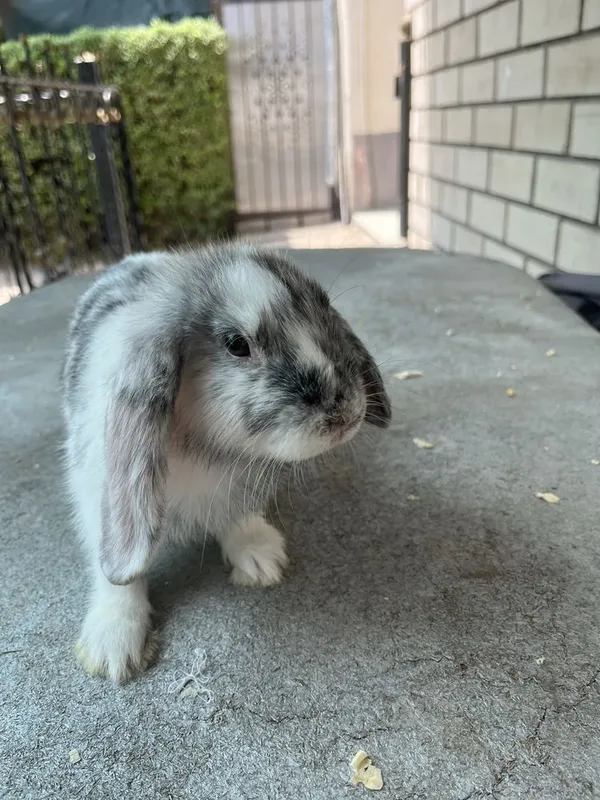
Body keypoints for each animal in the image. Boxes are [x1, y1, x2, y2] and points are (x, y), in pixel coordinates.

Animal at [61, 244, 391, 682]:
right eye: (236, 344)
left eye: (324, 308)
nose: (345, 414)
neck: (203, 449)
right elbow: (117, 579)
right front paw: (114, 645)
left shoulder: (236, 488)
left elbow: (236, 516)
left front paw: (261, 560)